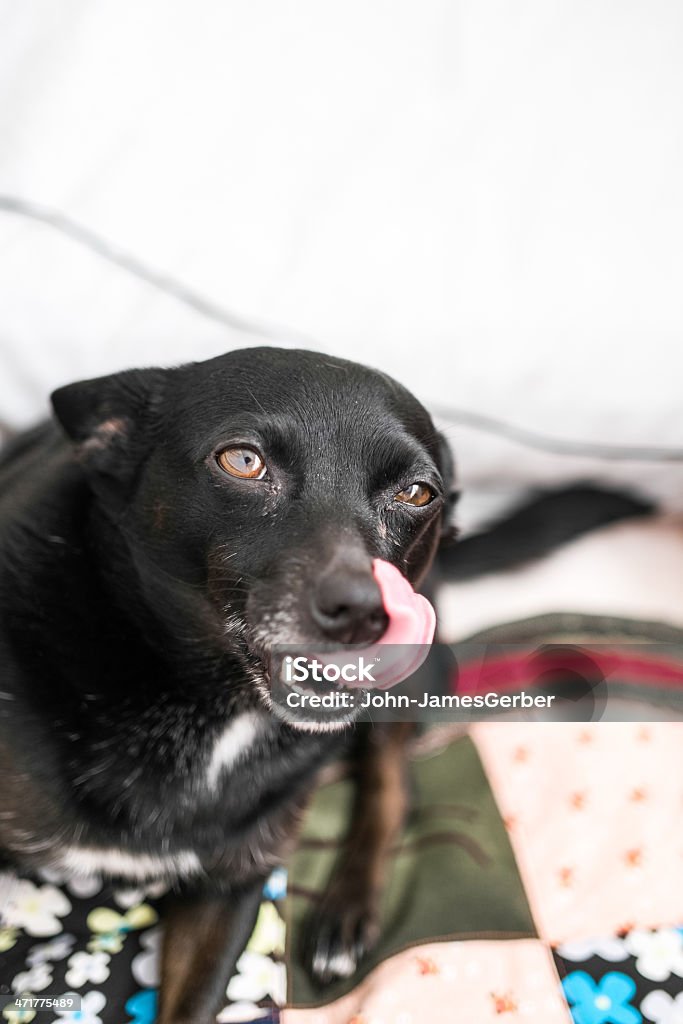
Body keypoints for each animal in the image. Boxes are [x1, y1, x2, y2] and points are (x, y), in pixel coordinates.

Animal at [1, 348, 458, 1019]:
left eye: (416, 492)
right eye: (243, 461)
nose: (364, 612)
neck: (210, 706)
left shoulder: (233, 881)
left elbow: (194, 1003)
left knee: (391, 777)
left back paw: (346, 915)